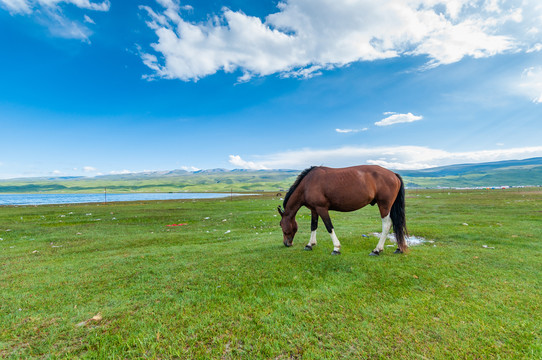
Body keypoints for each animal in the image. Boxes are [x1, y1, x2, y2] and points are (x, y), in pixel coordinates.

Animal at [280, 166, 408, 256]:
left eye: (281, 225)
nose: (286, 243)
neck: (308, 183)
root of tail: (393, 174)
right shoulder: (314, 210)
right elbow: (313, 226)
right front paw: (310, 244)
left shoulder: (322, 209)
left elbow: (329, 227)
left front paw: (336, 248)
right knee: (397, 224)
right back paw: (399, 248)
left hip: (384, 206)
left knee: (387, 225)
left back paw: (377, 250)